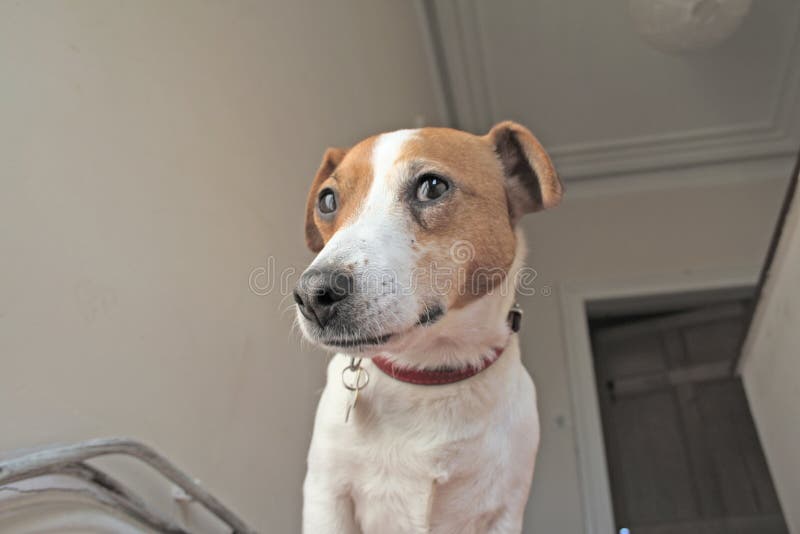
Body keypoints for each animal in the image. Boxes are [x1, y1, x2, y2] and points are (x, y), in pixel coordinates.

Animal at [294, 122, 564, 534]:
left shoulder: (504, 510)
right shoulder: (327, 497)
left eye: (432, 186)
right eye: (327, 201)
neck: (429, 374)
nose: (312, 295)